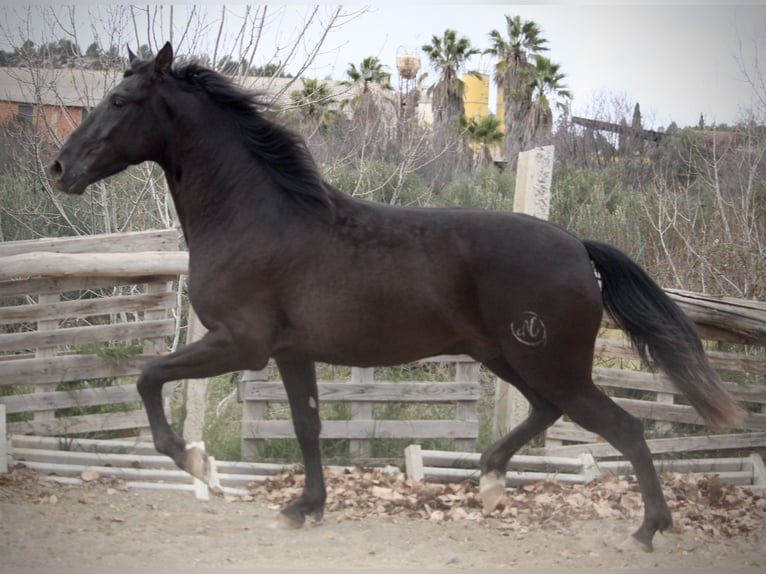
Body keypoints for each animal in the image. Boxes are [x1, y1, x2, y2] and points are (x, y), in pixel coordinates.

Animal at [48, 42, 744, 552]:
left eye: (120, 99)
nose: (59, 169)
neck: (257, 218)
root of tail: (578, 245)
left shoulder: (241, 345)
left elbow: (148, 377)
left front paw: (200, 467)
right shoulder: (291, 353)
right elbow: (307, 425)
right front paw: (304, 507)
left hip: (552, 363)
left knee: (622, 428)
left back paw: (648, 528)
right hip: (506, 357)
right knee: (547, 411)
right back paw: (490, 481)